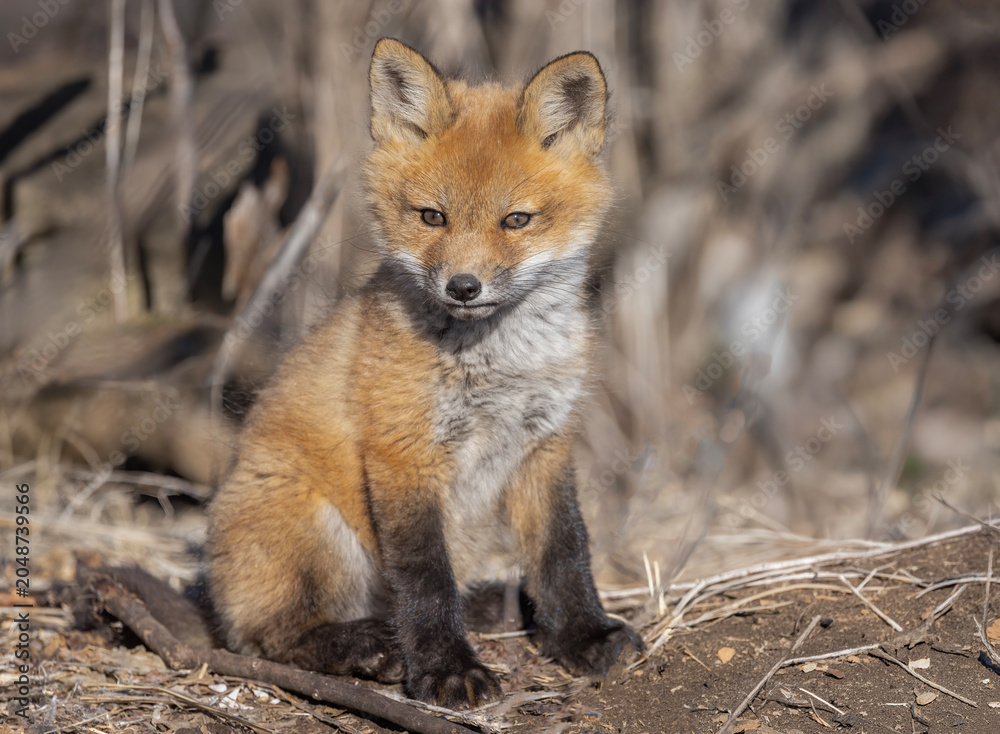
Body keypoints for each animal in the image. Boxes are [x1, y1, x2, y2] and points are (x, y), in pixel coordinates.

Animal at [207, 38, 642, 709]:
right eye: (432, 217)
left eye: (516, 220)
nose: (463, 286)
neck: (499, 365)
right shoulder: (402, 453)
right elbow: (424, 577)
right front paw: (445, 669)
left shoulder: (544, 445)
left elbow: (565, 551)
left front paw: (581, 635)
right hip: (313, 528)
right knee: (265, 634)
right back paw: (365, 645)